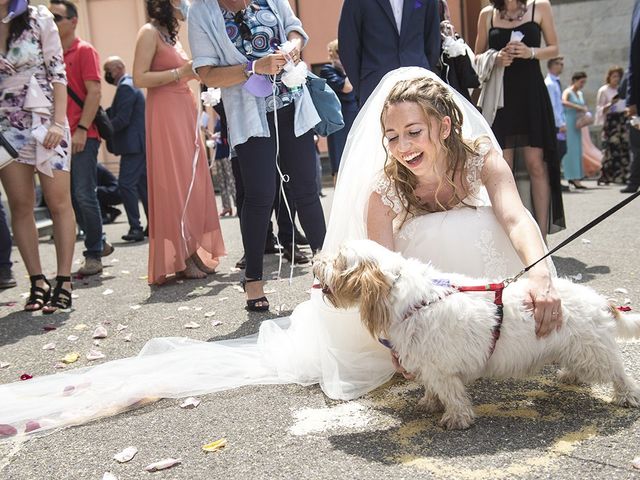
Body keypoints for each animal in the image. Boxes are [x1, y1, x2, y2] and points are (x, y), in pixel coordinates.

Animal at [312, 242, 640, 430]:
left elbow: (452, 395)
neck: (410, 297)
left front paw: (456, 419)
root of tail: (601, 301)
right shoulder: (429, 365)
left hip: (594, 352)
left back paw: (627, 396)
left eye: (339, 261)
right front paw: (430, 403)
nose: (315, 262)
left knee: (619, 373)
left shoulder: (441, 369)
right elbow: (434, 390)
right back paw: (570, 375)